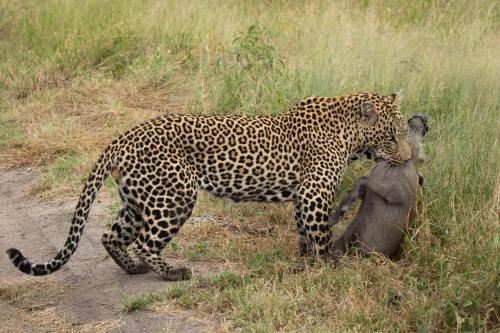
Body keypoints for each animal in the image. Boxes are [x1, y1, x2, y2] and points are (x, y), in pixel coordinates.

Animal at [6, 91, 410, 280]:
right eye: (391, 136)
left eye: (405, 132)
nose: (407, 158)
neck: (350, 136)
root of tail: (121, 137)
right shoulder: (313, 194)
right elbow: (321, 234)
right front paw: (327, 268)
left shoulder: (302, 197)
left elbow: (303, 233)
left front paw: (305, 262)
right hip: (176, 195)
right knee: (145, 242)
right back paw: (172, 273)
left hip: (139, 199)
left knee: (111, 235)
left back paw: (133, 269)